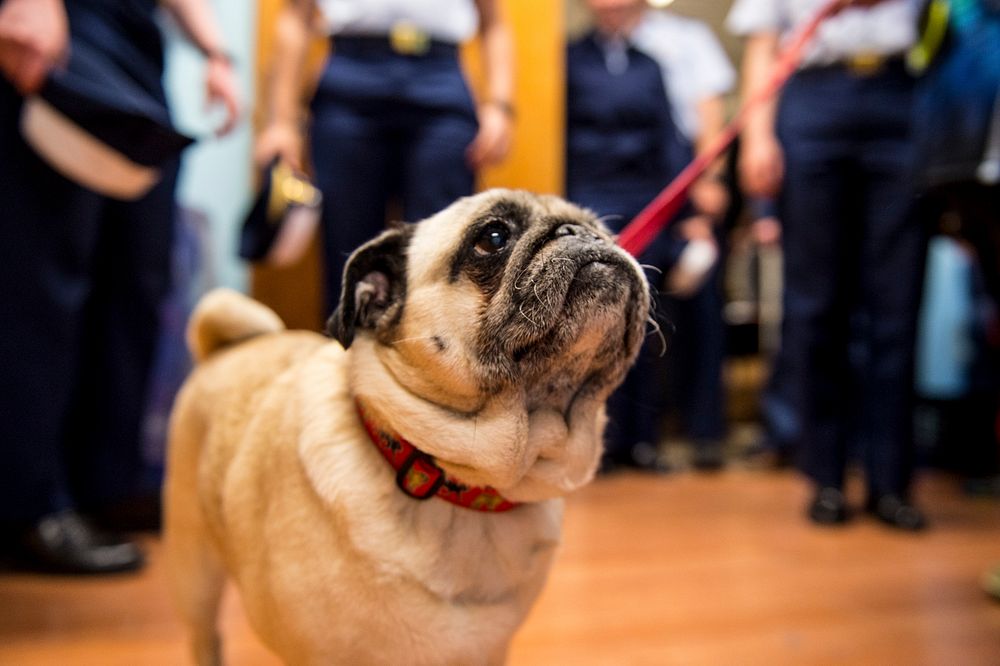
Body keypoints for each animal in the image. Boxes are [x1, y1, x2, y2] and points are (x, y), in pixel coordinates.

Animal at [162, 188, 648, 664]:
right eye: (492, 237)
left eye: (606, 231)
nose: (580, 232)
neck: (464, 487)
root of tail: (227, 346)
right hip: (195, 570)